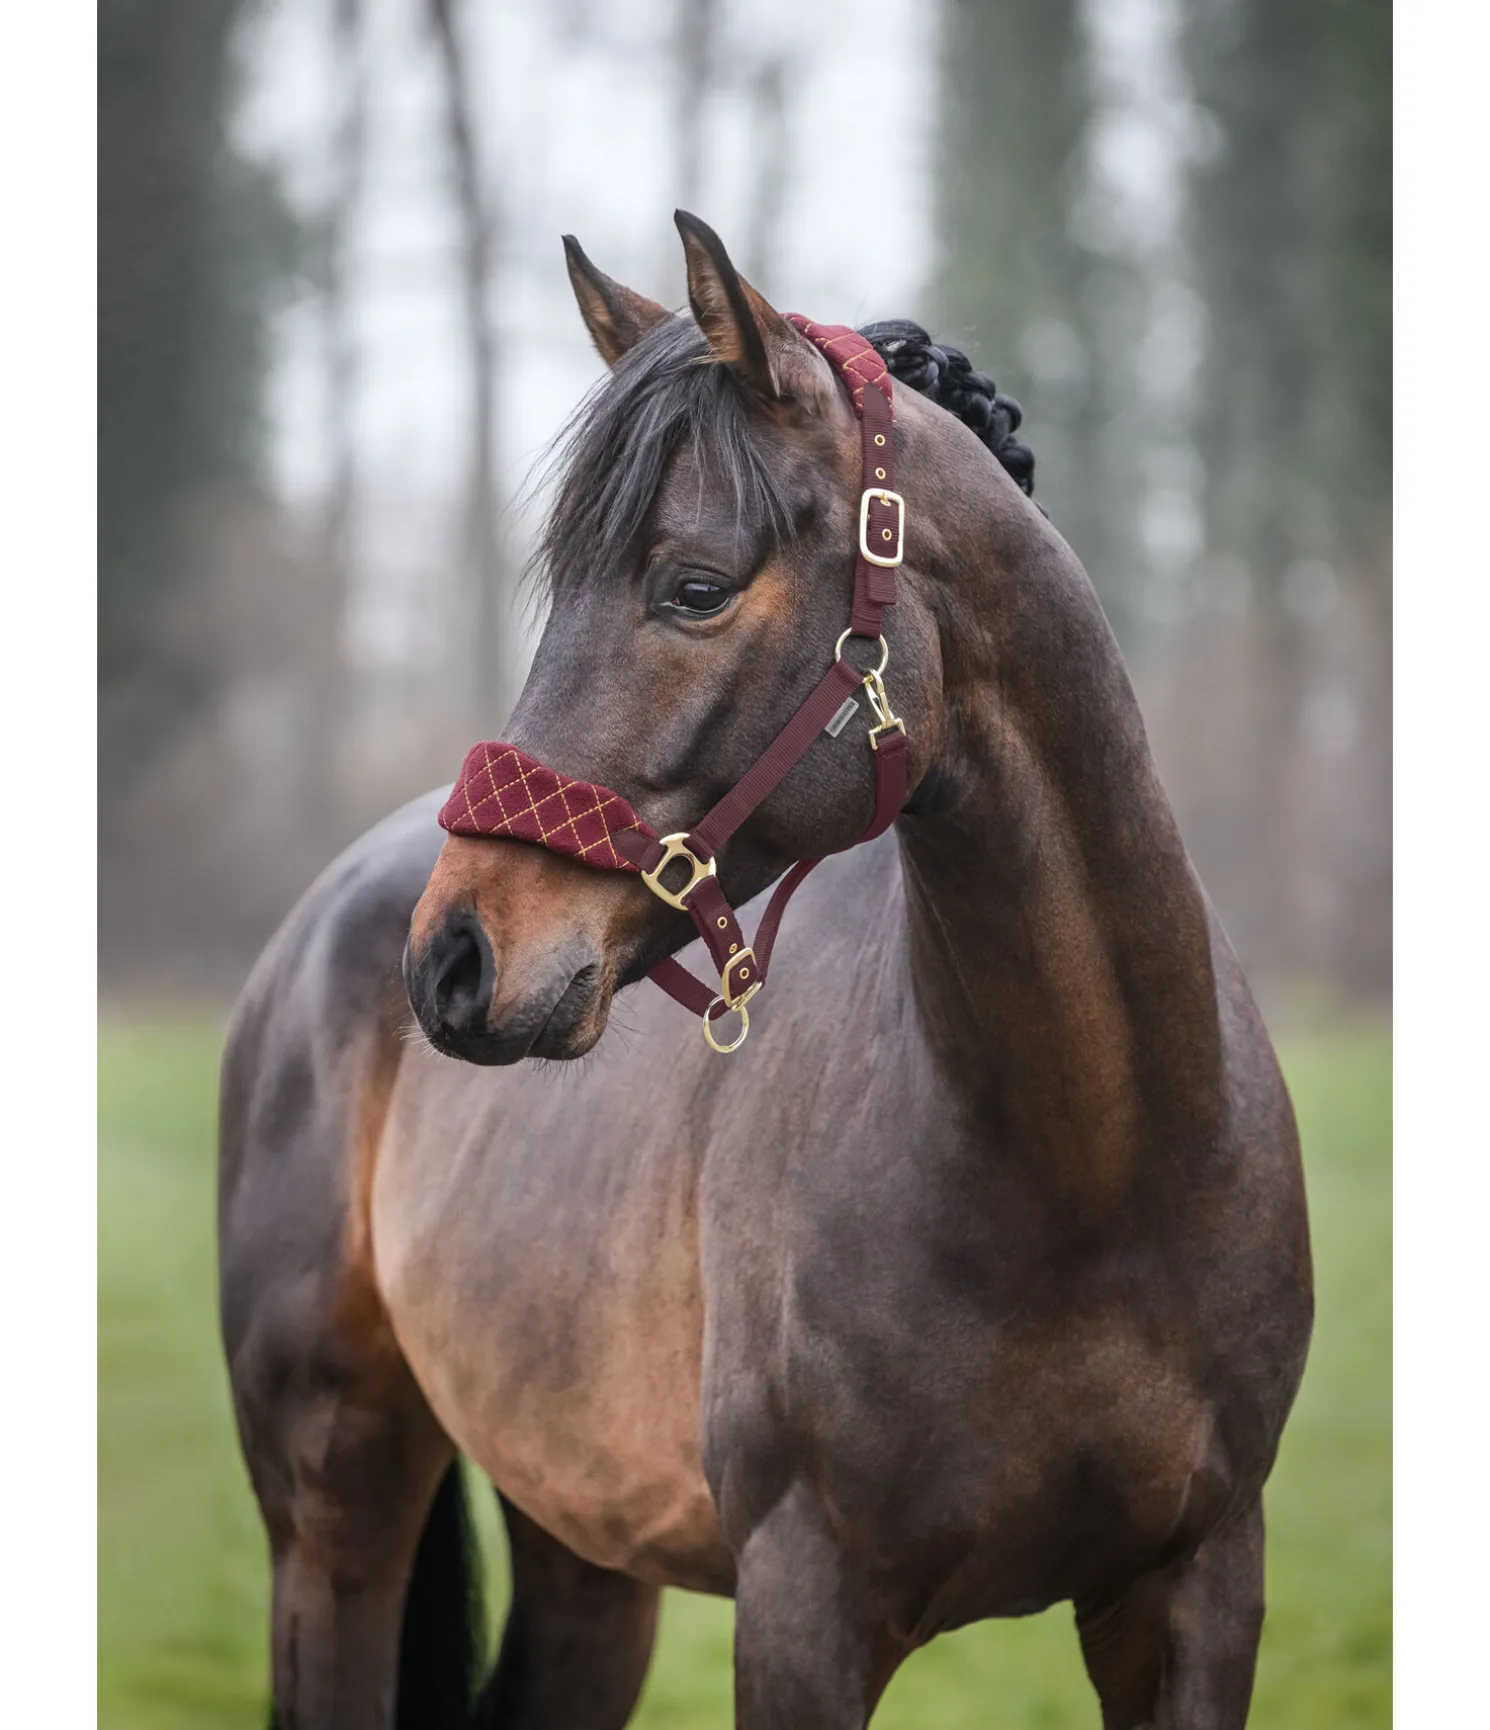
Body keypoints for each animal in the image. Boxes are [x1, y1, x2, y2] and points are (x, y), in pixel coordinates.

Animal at [218, 211, 1312, 1730]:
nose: (456, 957)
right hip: (334, 1513)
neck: (1096, 1171)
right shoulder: (805, 1607)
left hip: (584, 1551)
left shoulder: (1197, 1588)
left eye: (692, 586)